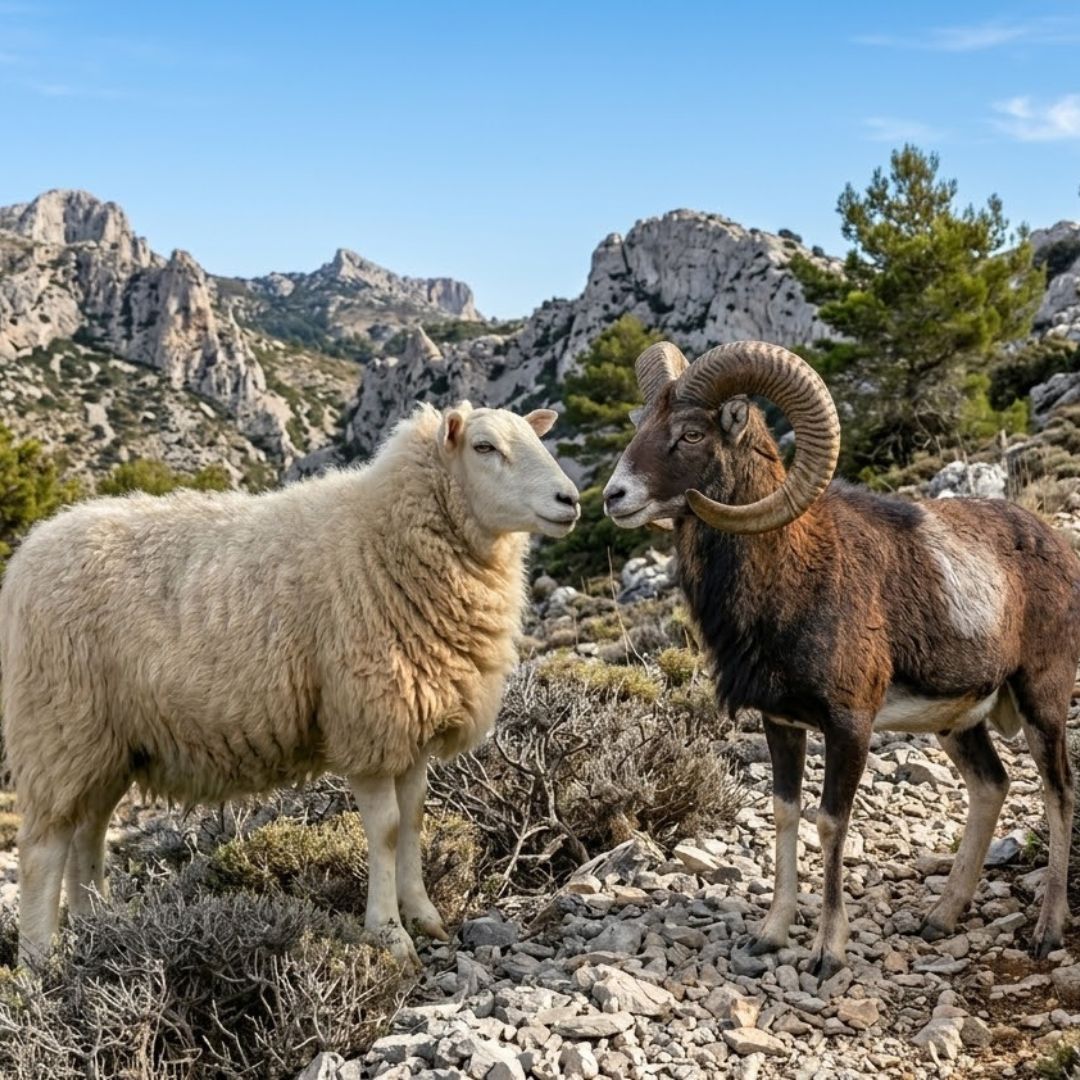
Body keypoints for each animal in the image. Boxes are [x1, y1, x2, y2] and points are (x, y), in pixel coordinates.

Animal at [1, 401, 580, 969]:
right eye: (484, 447)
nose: (570, 499)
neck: (383, 535)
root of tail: (32, 548)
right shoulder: (366, 717)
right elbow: (387, 829)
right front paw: (389, 934)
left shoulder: (412, 720)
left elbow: (415, 819)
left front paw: (425, 916)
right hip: (58, 723)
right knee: (42, 848)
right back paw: (39, 964)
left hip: (108, 743)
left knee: (87, 838)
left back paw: (97, 933)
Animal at [603, 339, 1080, 979]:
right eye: (641, 425)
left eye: (692, 433)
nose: (615, 497)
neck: (791, 573)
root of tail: (1057, 548)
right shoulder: (781, 724)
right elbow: (786, 815)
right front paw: (769, 936)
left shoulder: (849, 726)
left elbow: (830, 822)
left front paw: (827, 952)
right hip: (958, 723)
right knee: (991, 787)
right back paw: (940, 919)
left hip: (1041, 701)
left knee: (1058, 792)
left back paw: (1047, 932)